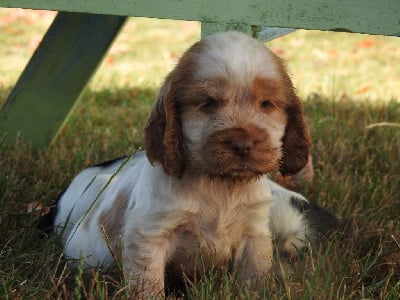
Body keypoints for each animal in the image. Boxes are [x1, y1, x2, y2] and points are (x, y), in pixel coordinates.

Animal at [51, 31, 336, 296]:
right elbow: (148, 285)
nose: (243, 144)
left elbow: (254, 279)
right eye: (208, 103)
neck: (220, 186)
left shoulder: (254, 234)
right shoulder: (150, 235)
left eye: (266, 103)